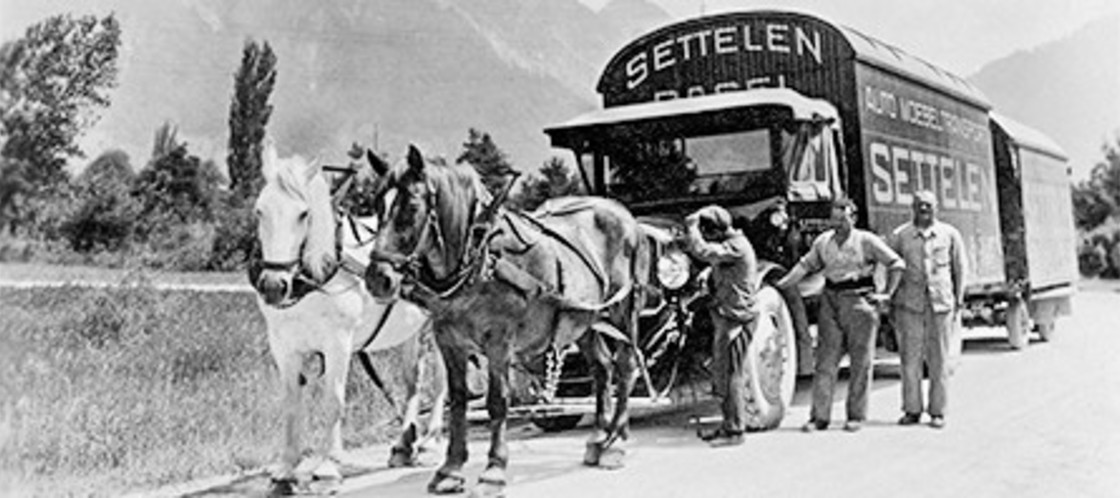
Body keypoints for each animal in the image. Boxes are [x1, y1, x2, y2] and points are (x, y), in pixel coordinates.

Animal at [251, 143, 447, 492]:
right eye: (260, 211)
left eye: (304, 214)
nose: (274, 285)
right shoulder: (284, 347)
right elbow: (291, 406)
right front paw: (286, 470)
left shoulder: (338, 344)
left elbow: (334, 400)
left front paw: (328, 467)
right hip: (410, 331)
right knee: (413, 380)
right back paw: (403, 445)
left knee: (441, 380)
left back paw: (430, 442)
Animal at [363, 145, 650, 497]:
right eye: (377, 205)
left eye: (412, 207)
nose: (378, 279)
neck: (479, 257)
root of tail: (623, 213)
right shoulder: (449, 341)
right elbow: (458, 401)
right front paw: (450, 470)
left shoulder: (499, 339)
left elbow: (498, 402)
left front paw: (493, 471)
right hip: (584, 319)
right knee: (601, 367)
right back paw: (598, 438)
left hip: (623, 309)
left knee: (625, 365)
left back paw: (616, 442)